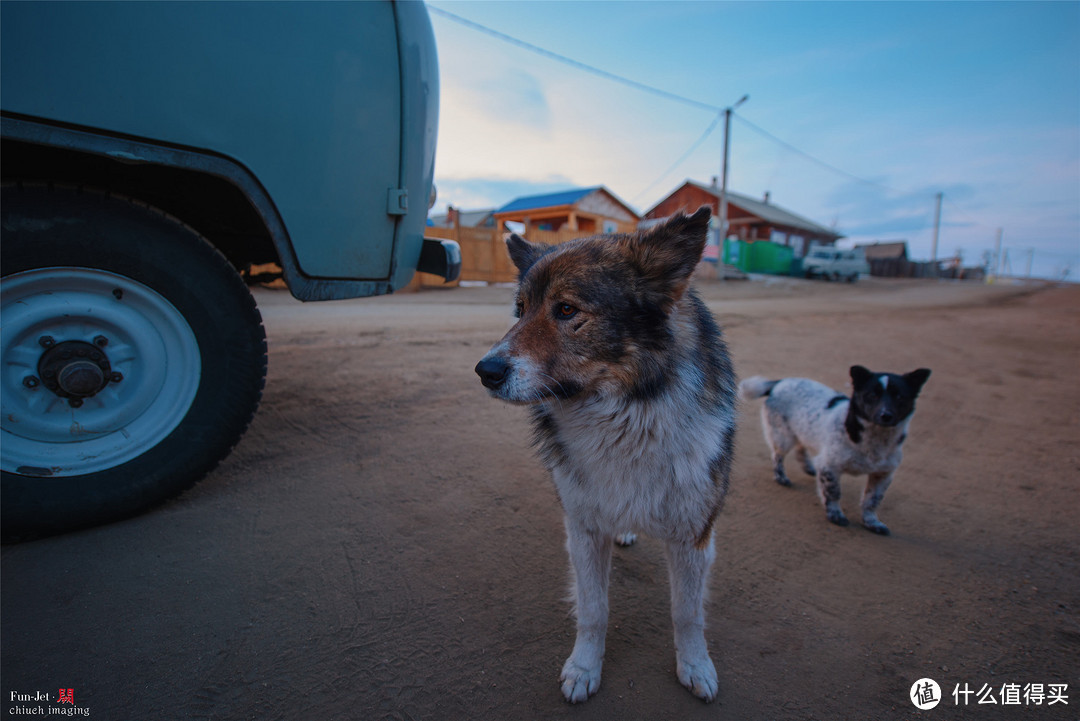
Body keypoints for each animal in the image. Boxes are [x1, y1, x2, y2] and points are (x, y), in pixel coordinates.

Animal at [477, 205, 738, 699]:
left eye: (566, 309)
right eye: (519, 310)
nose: (485, 371)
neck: (625, 417)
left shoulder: (694, 534)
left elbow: (687, 613)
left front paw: (695, 665)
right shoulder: (583, 527)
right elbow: (593, 610)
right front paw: (584, 668)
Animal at [743, 369, 928, 533]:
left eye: (899, 397)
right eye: (872, 395)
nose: (886, 415)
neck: (874, 439)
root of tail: (779, 383)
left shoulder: (883, 474)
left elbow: (872, 500)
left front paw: (872, 522)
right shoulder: (829, 466)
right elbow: (833, 492)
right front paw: (835, 515)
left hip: (801, 430)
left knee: (800, 447)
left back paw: (808, 467)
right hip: (783, 437)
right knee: (777, 455)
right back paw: (781, 476)